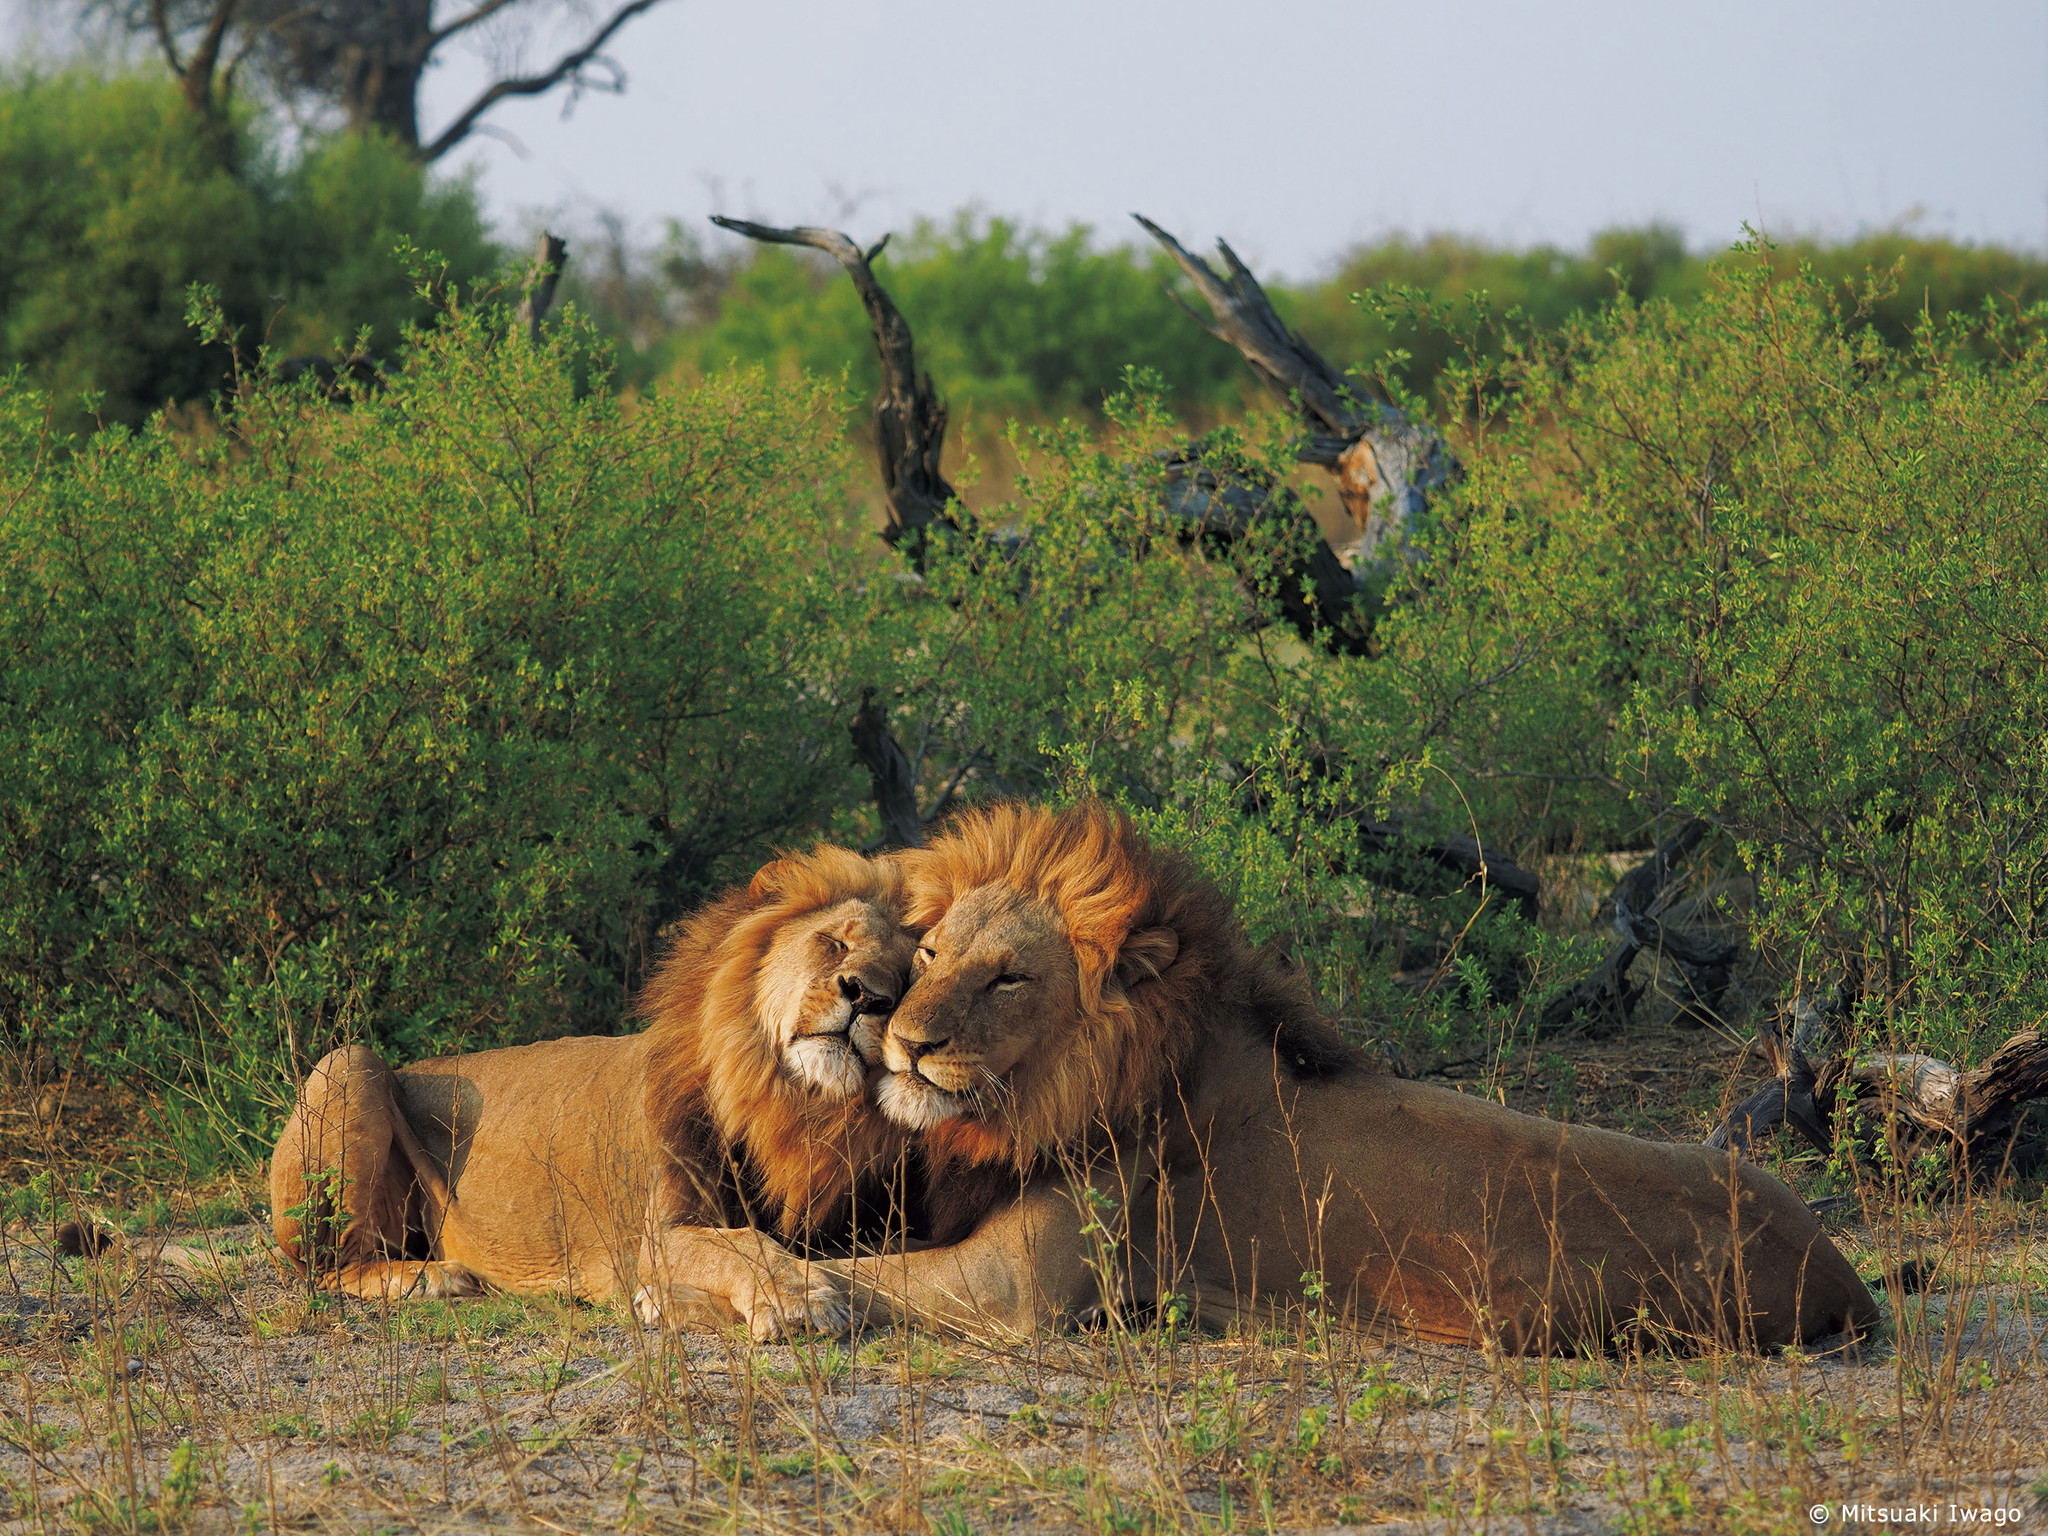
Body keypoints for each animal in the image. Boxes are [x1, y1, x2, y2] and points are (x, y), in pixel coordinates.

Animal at [270, 847, 913, 1343]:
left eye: (905, 981)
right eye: (833, 943)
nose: (866, 996)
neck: (786, 1101)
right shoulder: (658, 1235)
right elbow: (743, 1242)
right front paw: (799, 1298)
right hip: (352, 1061)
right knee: (326, 1267)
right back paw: (430, 1278)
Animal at [839, 806, 1875, 1359]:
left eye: (1008, 978)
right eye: (930, 954)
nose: (905, 1043)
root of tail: (1845, 1277)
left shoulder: (1015, 1288)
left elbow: (841, 1270)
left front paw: (801, 1305)